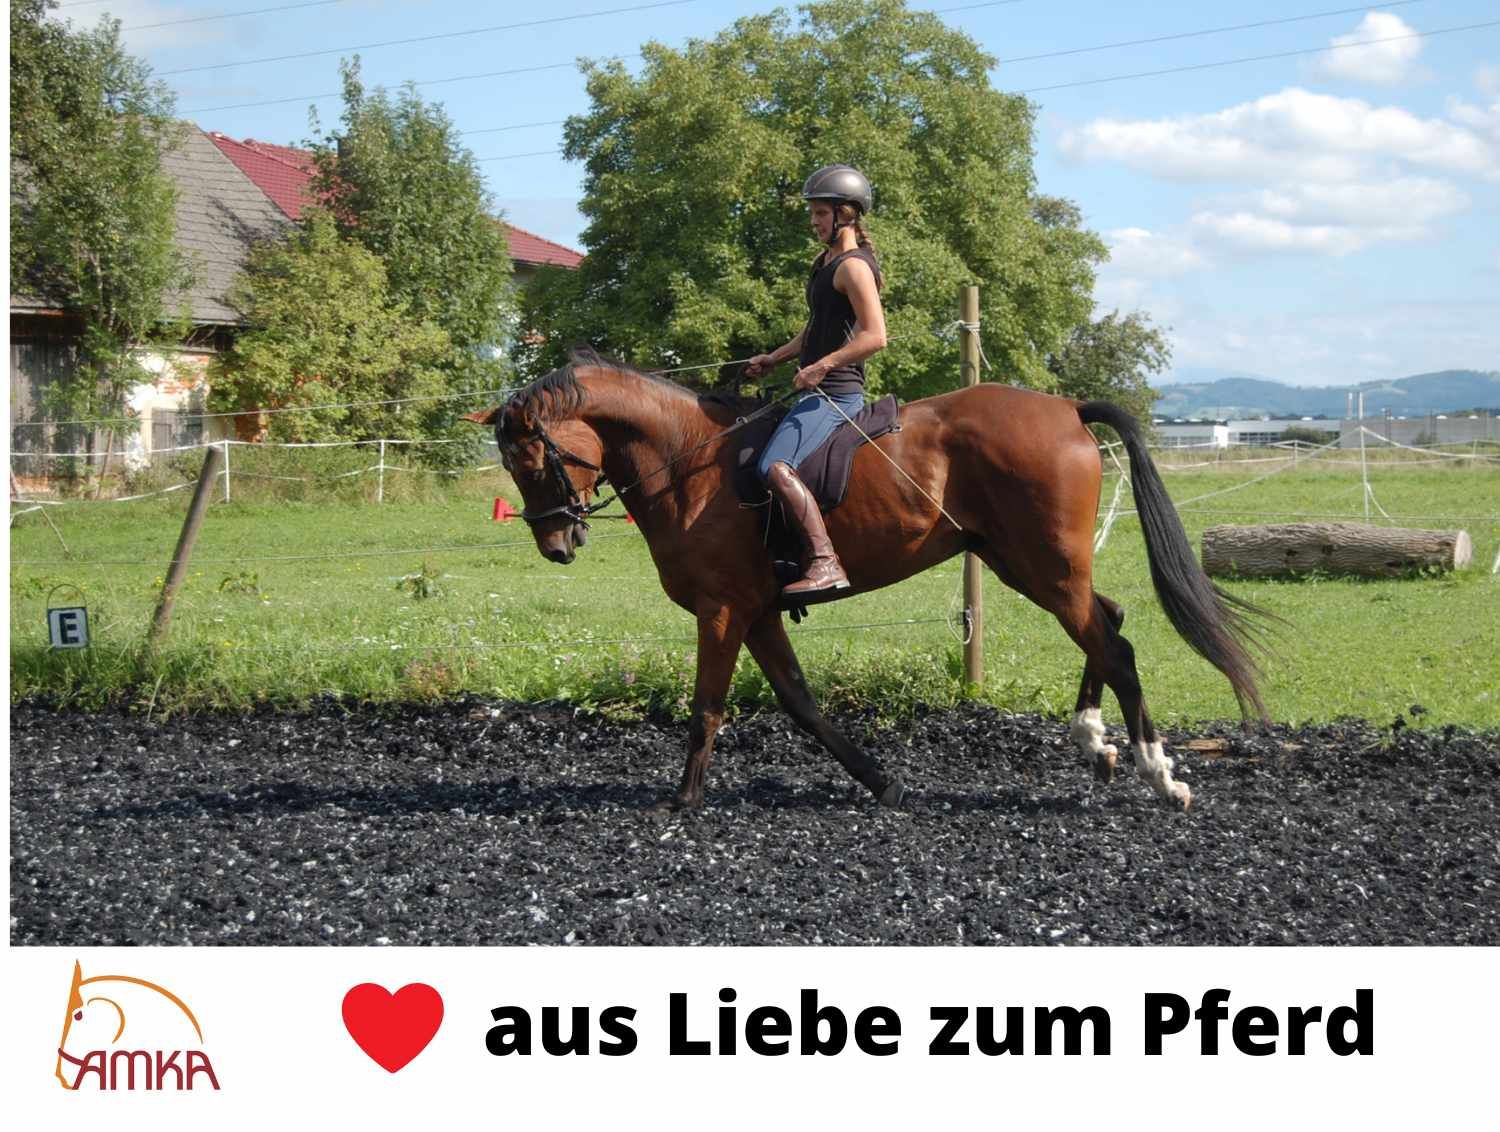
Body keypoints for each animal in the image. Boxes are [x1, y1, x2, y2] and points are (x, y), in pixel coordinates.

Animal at [465, 348, 1273, 812]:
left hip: (1046, 569)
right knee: (1111, 624)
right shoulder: (758, 612)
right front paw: (881, 782)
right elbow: (802, 706)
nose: (557, 543)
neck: (689, 461)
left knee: (1115, 646)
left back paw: (1157, 772)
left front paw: (681, 805)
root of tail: (1068, 410)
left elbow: (706, 708)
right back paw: (1094, 741)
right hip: (1026, 565)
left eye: (531, 459)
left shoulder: (721, 611)